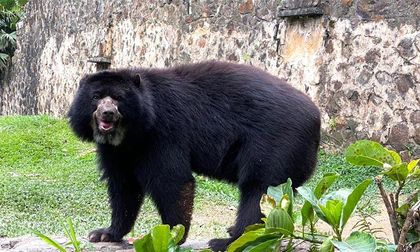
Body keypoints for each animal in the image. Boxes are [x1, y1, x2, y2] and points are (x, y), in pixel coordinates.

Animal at [67, 60, 320, 250]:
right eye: (96, 97)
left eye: (118, 98)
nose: (107, 114)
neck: (130, 134)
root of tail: (315, 117)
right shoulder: (116, 151)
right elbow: (124, 187)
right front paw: (105, 233)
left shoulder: (162, 133)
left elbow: (172, 180)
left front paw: (171, 235)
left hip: (274, 143)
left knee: (258, 189)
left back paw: (228, 240)